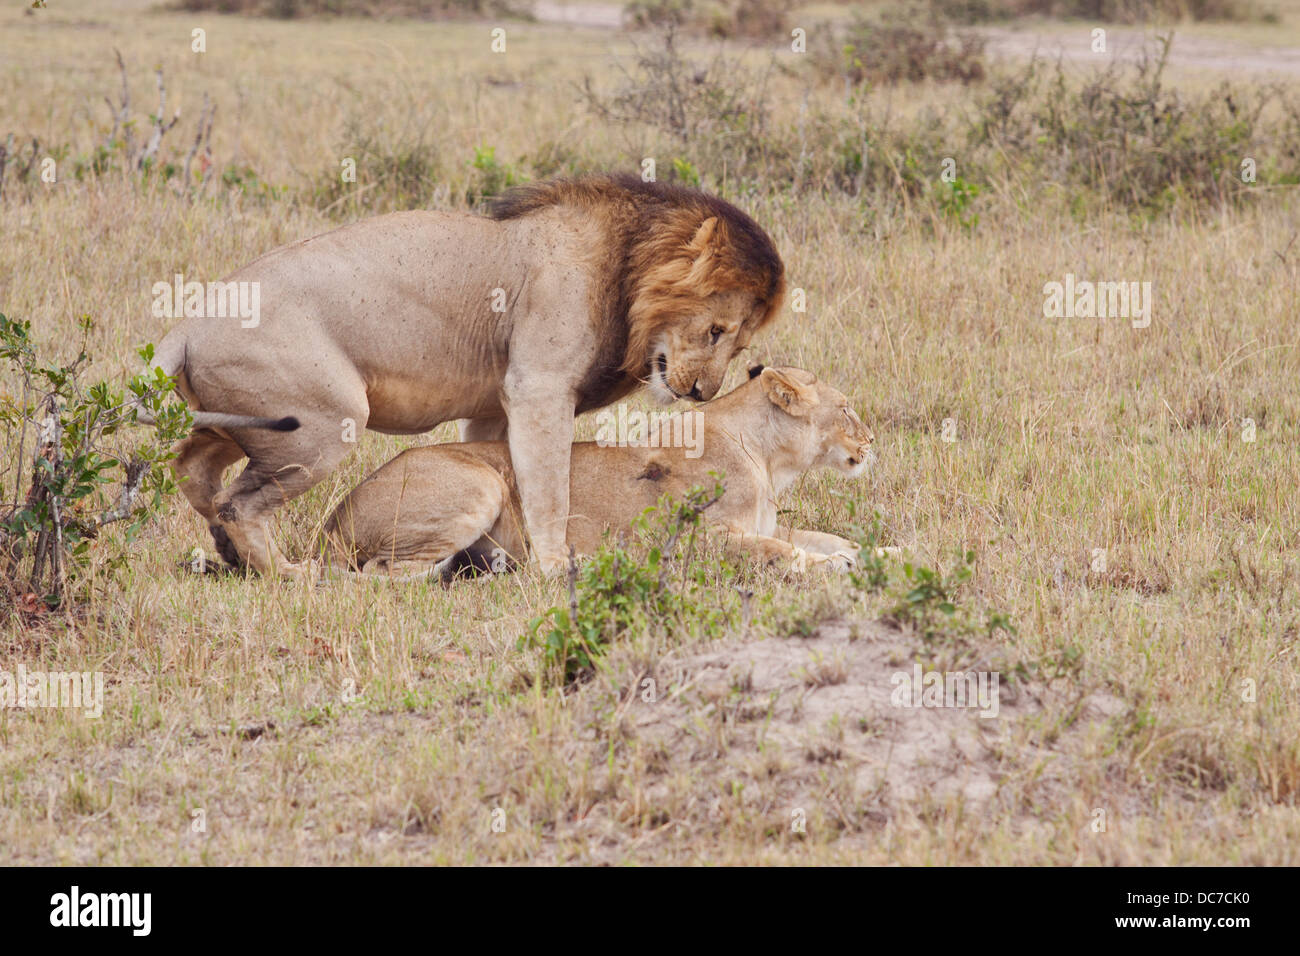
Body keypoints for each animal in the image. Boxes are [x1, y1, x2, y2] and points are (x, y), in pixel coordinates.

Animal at [149, 174, 785, 576]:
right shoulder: (538, 389)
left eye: (741, 344)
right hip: (324, 423)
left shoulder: (493, 406)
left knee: (193, 470)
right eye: (716, 331)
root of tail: (187, 323)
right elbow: (550, 489)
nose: (701, 393)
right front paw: (554, 566)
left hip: (237, 422)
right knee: (239, 504)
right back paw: (289, 573)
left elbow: (504, 468)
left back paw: (225, 555)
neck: (629, 264)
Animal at [323, 366, 876, 578]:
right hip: (483, 483)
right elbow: (783, 551)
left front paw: (872, 553)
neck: (768, 459)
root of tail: (334, 518)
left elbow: (825, 536)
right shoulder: (698, 538)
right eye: (847, 408)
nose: (872, 441)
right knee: (384, 574)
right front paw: (833, 566)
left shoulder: (764, 523)